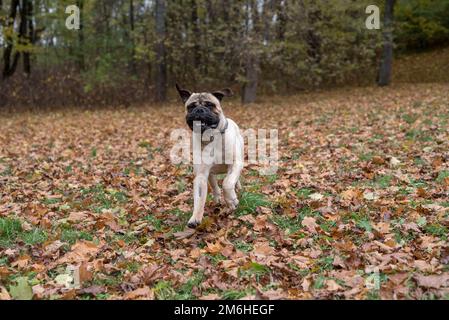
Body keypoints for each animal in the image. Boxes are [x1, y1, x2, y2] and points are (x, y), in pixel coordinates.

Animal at [176, 82, 245, 228]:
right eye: (191, 107)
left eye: (209, 105)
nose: (199, 110)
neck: (210, 137)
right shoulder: (201, 175)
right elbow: (199, 198)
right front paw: (195, 217)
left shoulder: (235, 163)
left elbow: (227, 183)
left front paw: (232, 200)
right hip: (211, 174)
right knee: (215, 186)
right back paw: (217, 198)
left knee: (232, 180)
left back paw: (237, 187)